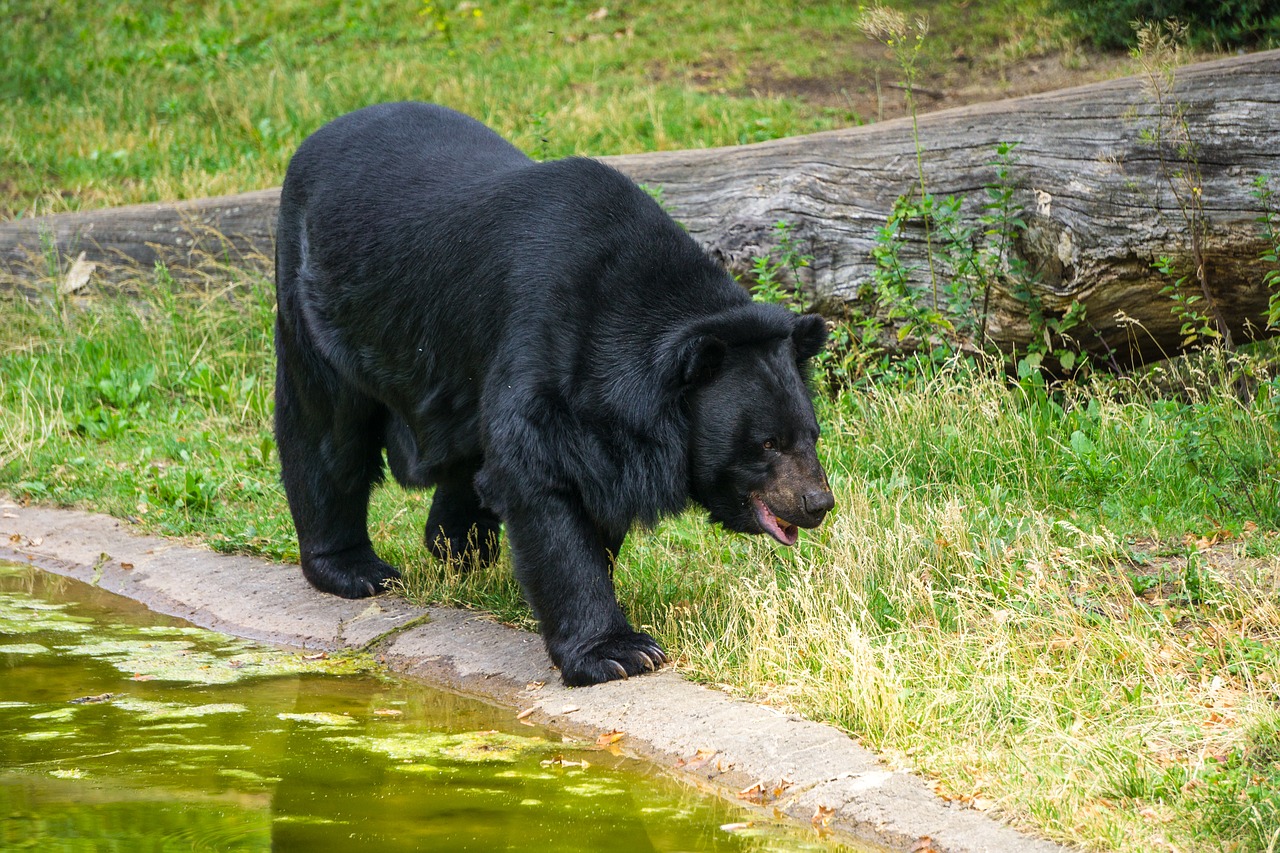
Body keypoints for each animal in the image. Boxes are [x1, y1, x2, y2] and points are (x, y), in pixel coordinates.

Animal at [275, 103, 834, 686]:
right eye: (766, 444)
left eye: (811, 435)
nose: (818, 503)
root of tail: (321, 134)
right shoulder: (546, 350)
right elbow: (540, 480)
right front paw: (619, 653)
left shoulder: (602, 423)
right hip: (323, 306)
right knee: (325, 430)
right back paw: (355, 569)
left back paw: (459, 546)